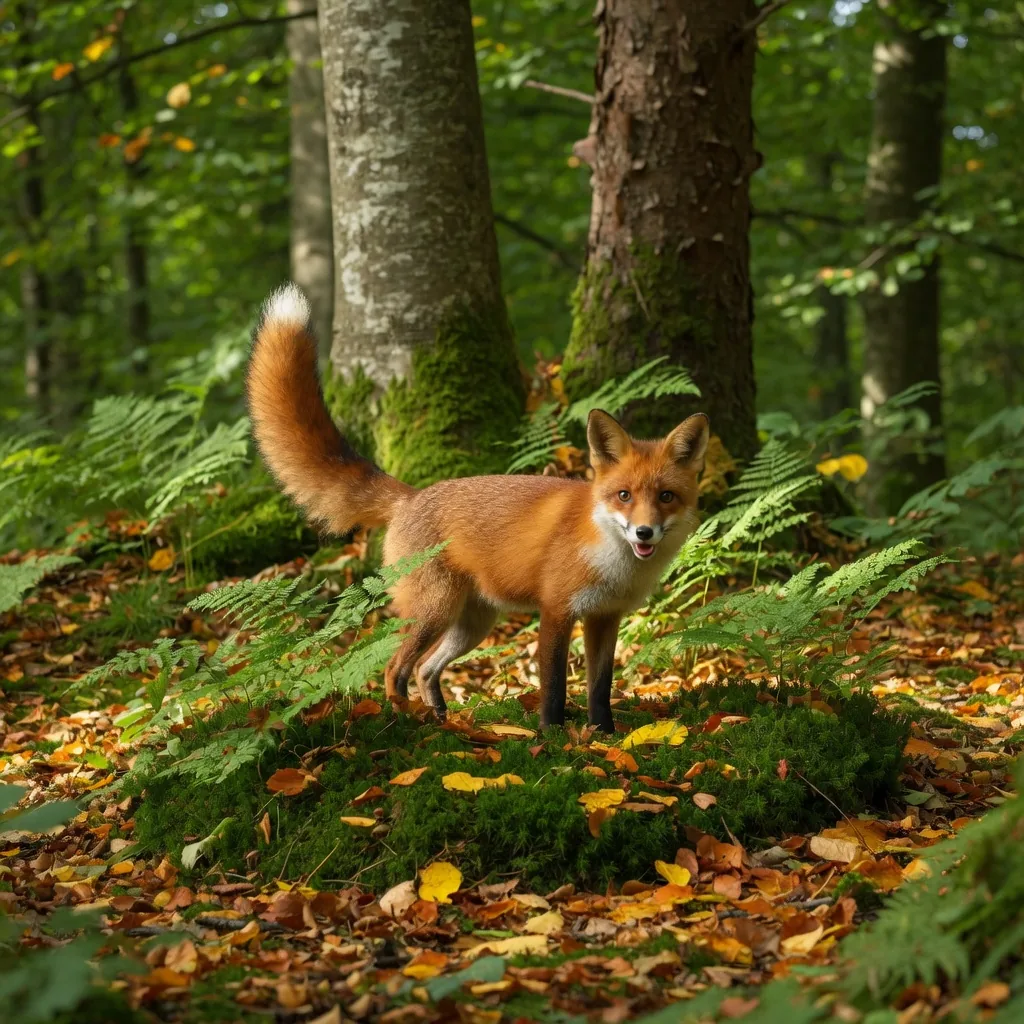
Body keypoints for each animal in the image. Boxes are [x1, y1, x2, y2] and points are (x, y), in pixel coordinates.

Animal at [246, 283, 709, 732]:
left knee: (425, 669)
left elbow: (600, 687)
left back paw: (444, 720)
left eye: (666, 497)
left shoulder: (604, 618)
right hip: (434, 611)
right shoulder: (557, 611)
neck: (609, 556)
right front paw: (554, 737)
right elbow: (554, 687)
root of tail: (411, 496)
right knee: (395, 669)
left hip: (472, 623)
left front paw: (605, 735)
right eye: (624, 496)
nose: (644, 533)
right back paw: (408, 722)